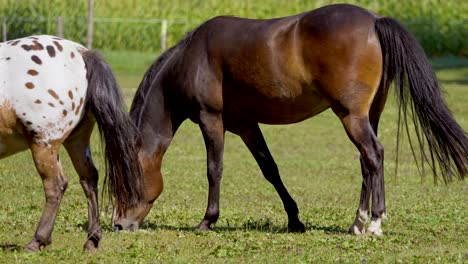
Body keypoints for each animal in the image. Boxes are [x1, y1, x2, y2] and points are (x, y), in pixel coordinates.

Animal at [0, 35, 144, 252]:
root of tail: (80, 52)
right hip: (76, 140)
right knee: (89, 178)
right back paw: (92, 239)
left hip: (44, 144)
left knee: (56, 185)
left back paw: (38, 240)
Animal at [111, 4, 466, 235]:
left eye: (126, 183)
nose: (119, 224)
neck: (191, 59)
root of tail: (375, 20)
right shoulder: (245, 125)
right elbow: (271, 170)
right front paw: (295, 220)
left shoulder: (210, 119)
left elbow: (214, 170)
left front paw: (207, 221)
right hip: (369, 115)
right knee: (367, 162)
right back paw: (358, 223)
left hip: (351, 116)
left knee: (374, 155)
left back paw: (375, 222)